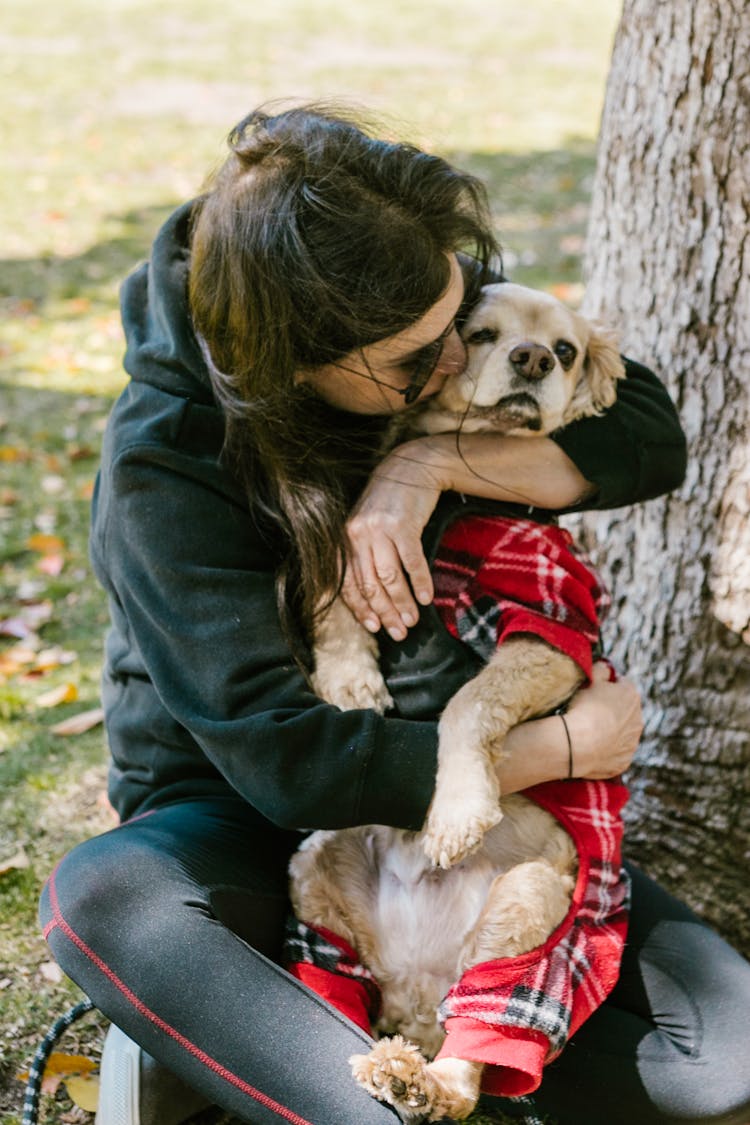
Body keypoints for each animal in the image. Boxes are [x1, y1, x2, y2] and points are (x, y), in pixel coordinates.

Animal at [290, 281, 629, 1116]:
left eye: (566, 350)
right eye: (479, 333)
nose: (533, 359)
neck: (460, 498)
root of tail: (419, 985)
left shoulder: (549, 632)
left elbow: (467, 702)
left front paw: (456, 812)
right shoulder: (364, 554)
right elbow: (339, 596)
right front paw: (349, 676)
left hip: (529, 916)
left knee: (478, 1056)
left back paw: (420, 1079)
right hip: (315, 870)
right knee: (337, 981)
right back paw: (379, 1052)